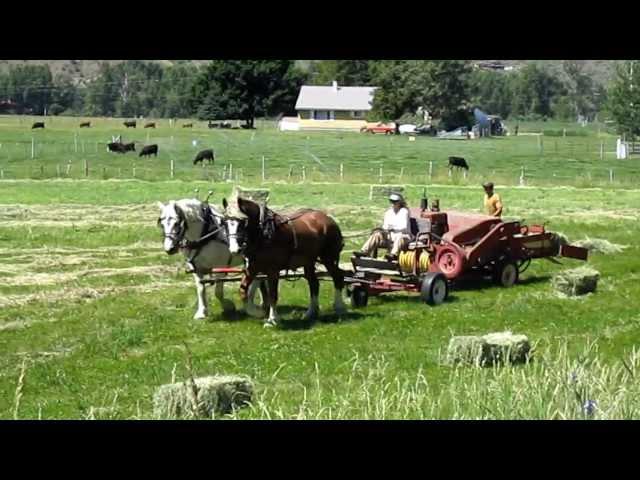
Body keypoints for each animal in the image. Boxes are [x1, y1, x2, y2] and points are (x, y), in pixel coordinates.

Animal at [222, 196, 348, 326]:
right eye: (224, 222)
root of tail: (328, 219)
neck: (264, 234)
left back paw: (339, 307)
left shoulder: (273, 270)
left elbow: (273, 295)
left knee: (338, 277)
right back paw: (311, 313)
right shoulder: (252, 268)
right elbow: (242, 290)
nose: (235, 249)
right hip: (309, 262)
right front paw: (257, 312)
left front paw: (272, 319)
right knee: (314, 284)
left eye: (243, 223)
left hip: (328, 258)